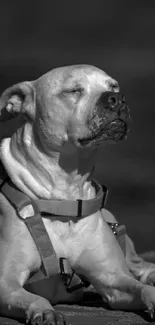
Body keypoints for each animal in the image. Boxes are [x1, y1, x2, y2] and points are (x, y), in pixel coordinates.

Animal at [0, 64, 155, 324]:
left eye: (114, 86)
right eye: (73, 90)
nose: (117, 99)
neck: (64, 198)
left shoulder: (112, 278)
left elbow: (142, 288)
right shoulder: (6, 281)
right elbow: (34, 298)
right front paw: (45, 311)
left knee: (139, 266)